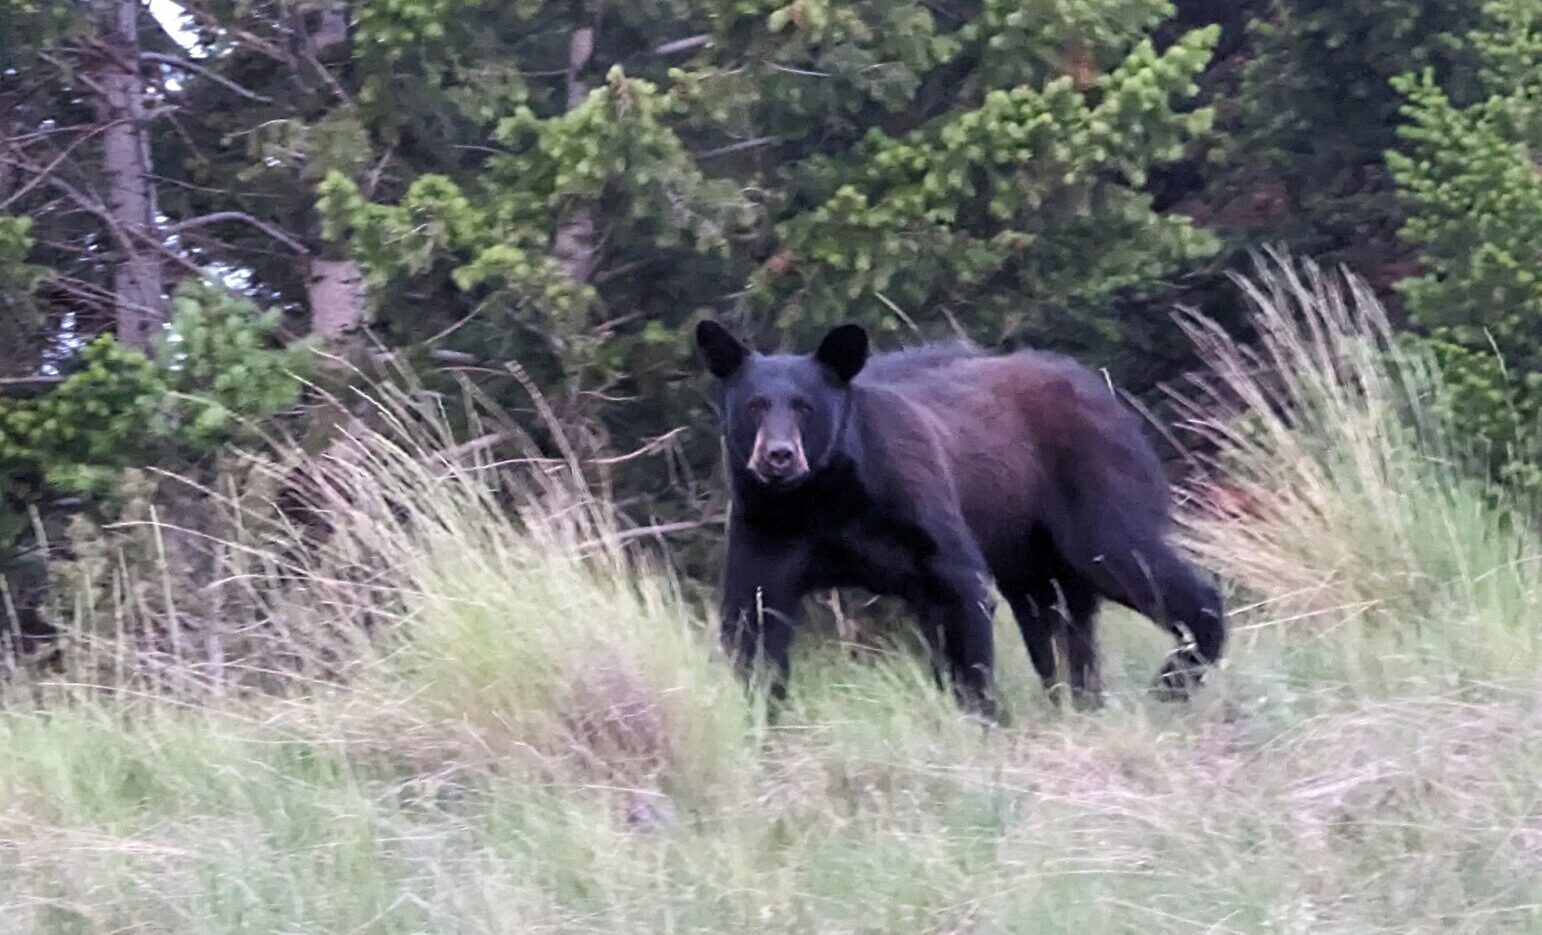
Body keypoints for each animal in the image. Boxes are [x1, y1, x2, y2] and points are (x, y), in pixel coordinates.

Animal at [695, 320, 1226, 720]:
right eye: (754, 406)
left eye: (805, 407)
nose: (778, 457)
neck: (823, 500)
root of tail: (1099, 388)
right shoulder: (768, 528)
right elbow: (753, 619)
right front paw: (761, 720)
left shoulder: (917, 507)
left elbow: (960, 595)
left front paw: (982, 717)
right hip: (1023, 544)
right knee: (1052, 618)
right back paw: (1078, 701)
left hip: (1090, 488)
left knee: (1127, 557)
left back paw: (1173, 678)